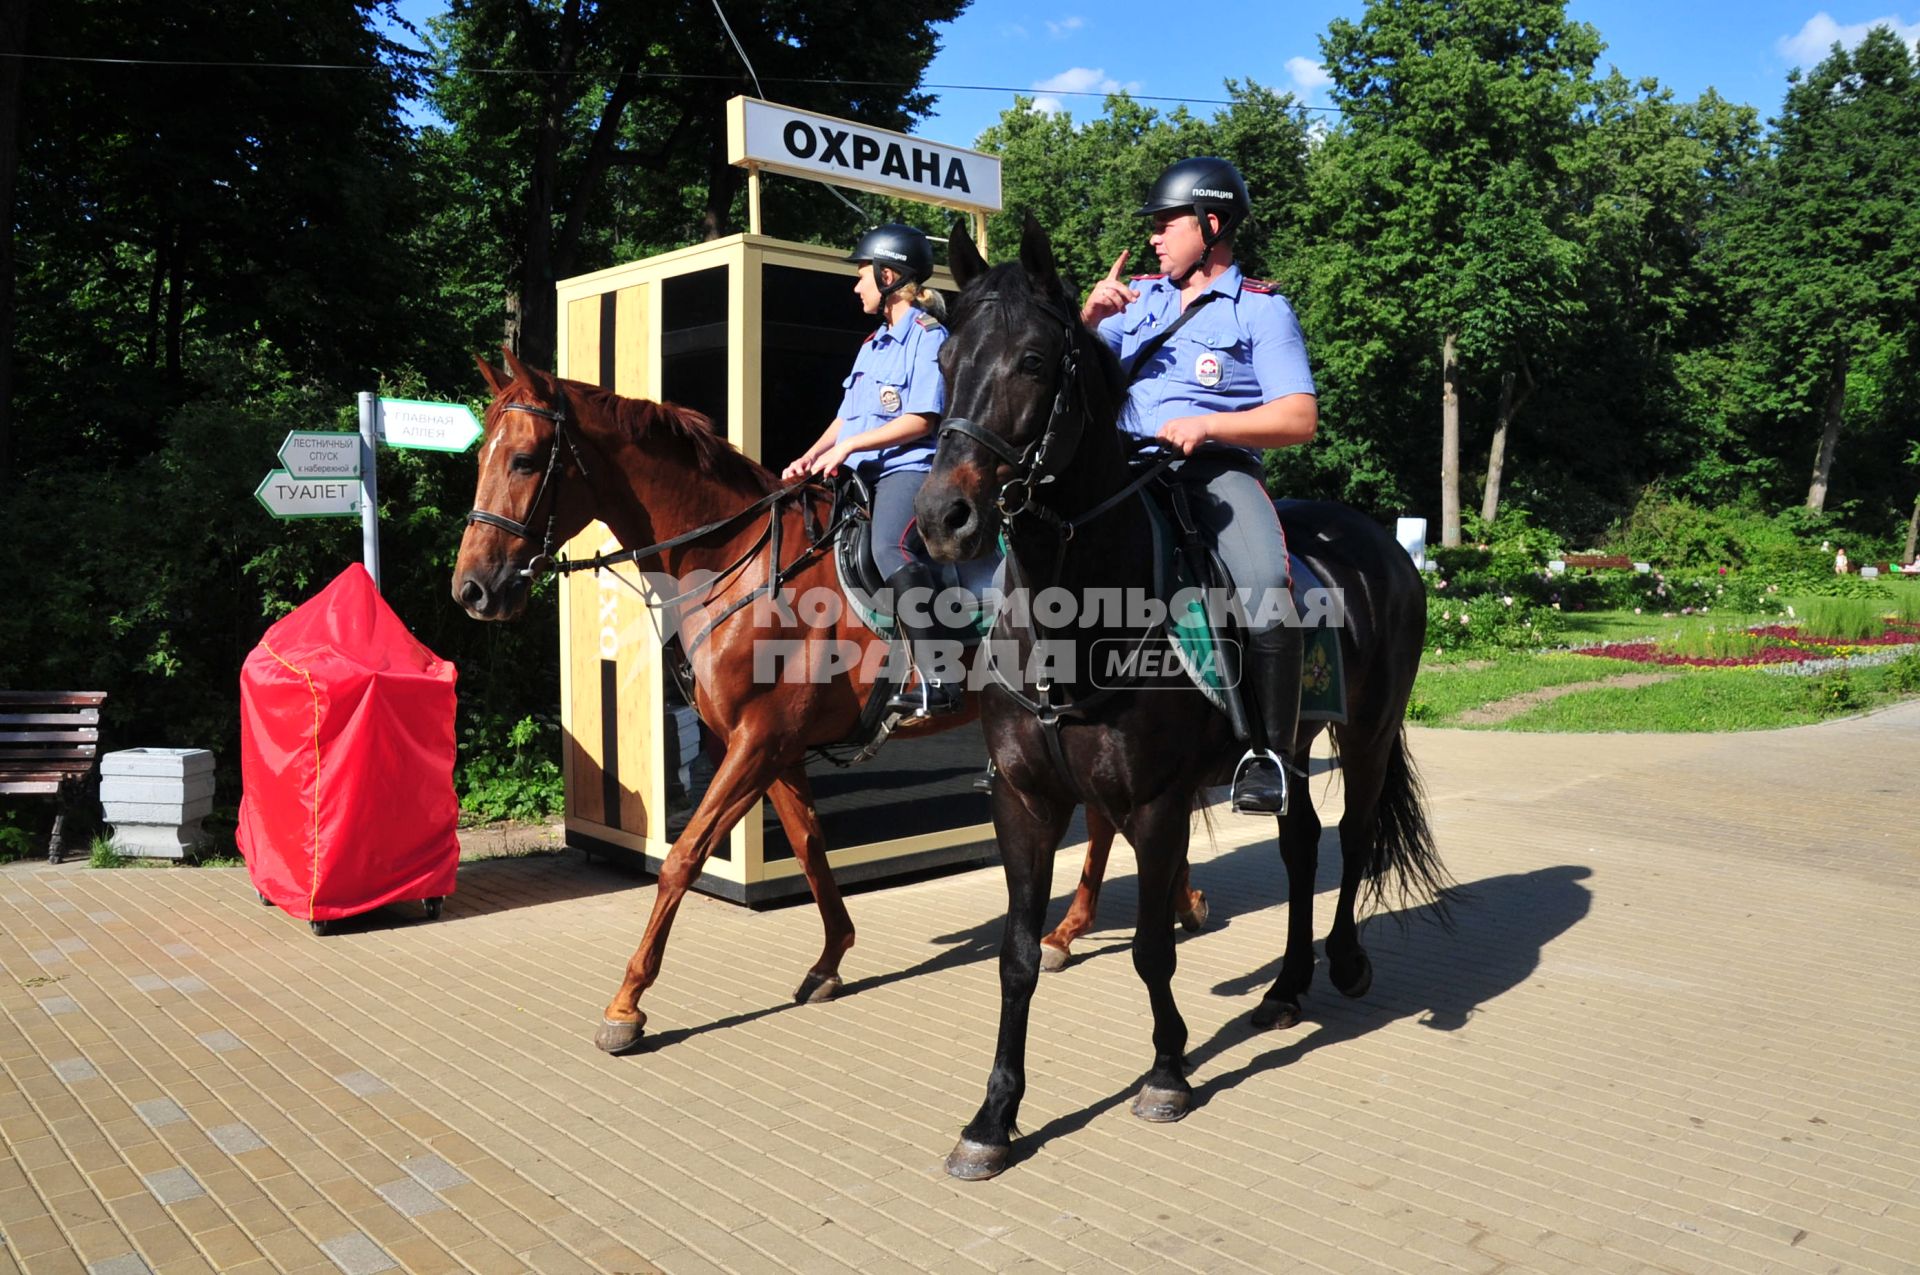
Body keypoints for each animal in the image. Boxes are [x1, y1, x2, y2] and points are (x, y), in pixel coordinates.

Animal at [447, 351, 1128, 1052]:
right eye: (482, 458)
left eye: (524, 460)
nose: (472, 589)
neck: (734, 561)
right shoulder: (773, 746)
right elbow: (807, 843)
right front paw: (830, 960)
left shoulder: (758, 742)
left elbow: (683, 858)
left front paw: (627, 1003)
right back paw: (1086, 927)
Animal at [921, 214, 1443, 1182]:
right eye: (945, 358)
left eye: (1036, 361)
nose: (944, 517)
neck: (1073, 614)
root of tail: (1380, 542)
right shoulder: (1026, 801)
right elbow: (1016, 956)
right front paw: (994, 1116)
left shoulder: (1156, 801)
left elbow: (1152, 947)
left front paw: (1167, 1070)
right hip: (1288, 746)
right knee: (1300, 841)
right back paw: (1284, 988)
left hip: (1368, 732)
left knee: (1351, 839)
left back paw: (1343, 962)